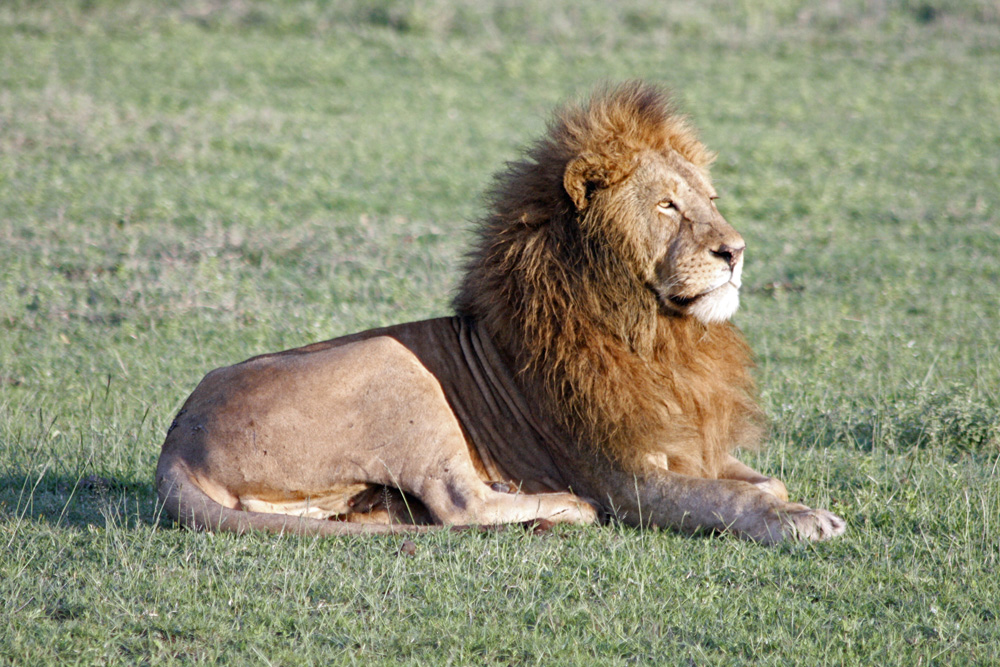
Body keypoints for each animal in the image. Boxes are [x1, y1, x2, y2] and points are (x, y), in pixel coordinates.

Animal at [156, 82, 844, 544]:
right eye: (667, 206)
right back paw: (562, 507)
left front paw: (787, 501)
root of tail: (175, 445)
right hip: (395, 368)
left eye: (711, 200)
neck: (654, 336)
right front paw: (804, 520)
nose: (735, 250)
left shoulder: (689, 442)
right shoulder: (623, 478)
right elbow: (729, 500)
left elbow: (763, 482)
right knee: (460, 503)